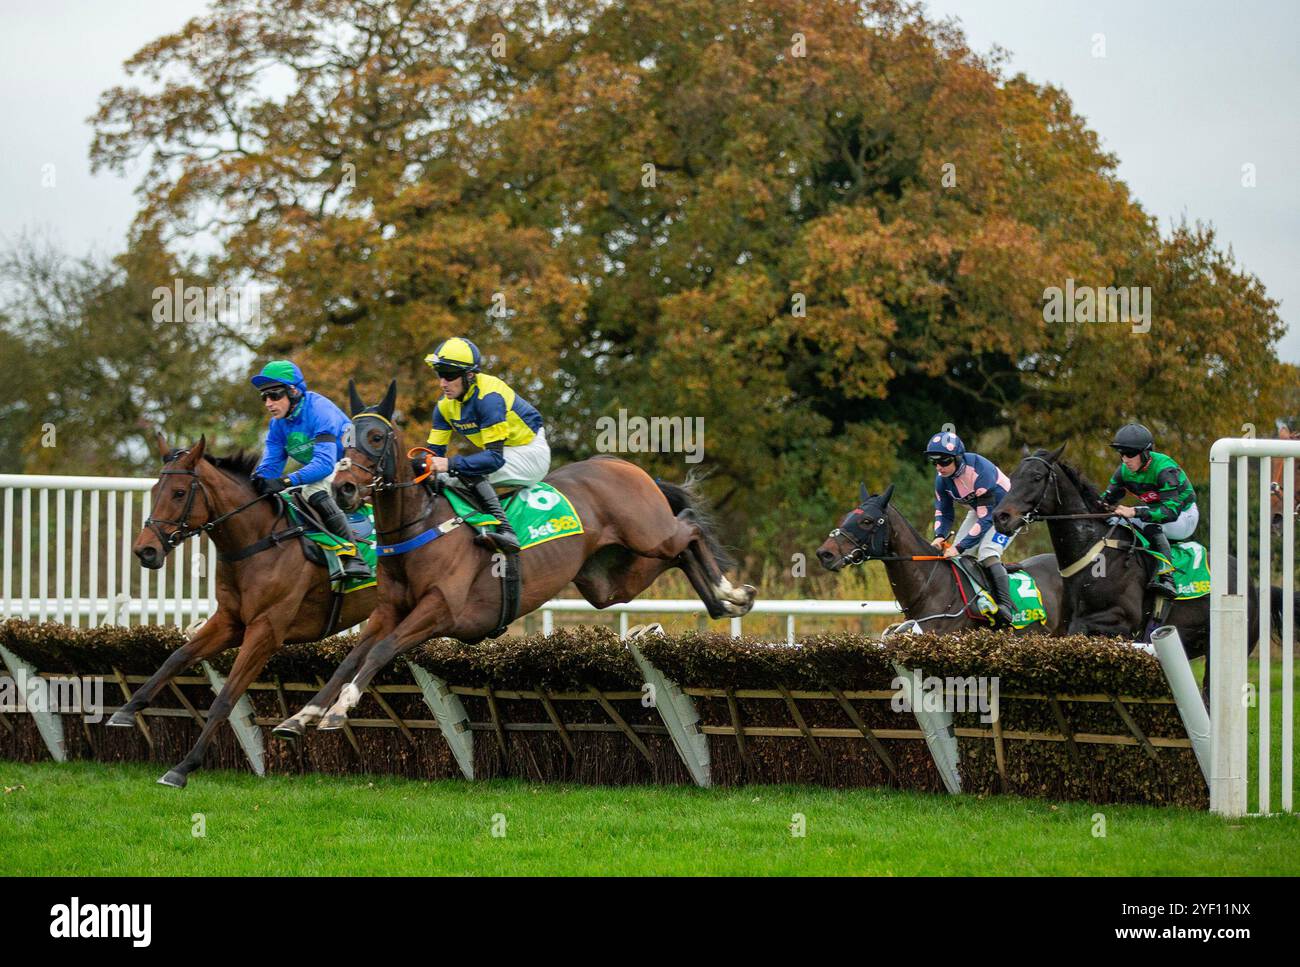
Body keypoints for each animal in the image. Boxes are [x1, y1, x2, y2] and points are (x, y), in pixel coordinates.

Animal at [118, 434, 377, 790]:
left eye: (179, 492)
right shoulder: (230, 621)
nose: (145, 550)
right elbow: (176, 658)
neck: (260, 541)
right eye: (156, 489)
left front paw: (182, 768)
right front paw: (126, 710)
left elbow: (225, 698)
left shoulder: (265, 631)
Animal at [276, 382, 759, 738]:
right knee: (678, 551)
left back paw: (732, 592)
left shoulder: (439, 610)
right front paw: (301, 716)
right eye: (341, 439)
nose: (343, 490)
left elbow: (380, 651)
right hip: (607, 582)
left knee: (690, 528)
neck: (418, 525)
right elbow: (351, 657)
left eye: (376, 438)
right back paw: (718, 604)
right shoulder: (387, 611)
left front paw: (341, 709)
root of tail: (623, 464)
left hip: (648, 533)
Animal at [987, 444, 1284, 686]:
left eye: (1036, 477)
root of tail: (1252, 584)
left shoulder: (1123, 622)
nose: (1001, 517)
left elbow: (1080, 631)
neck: (1095, 554)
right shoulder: (1063, 622)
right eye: (1013, 476)